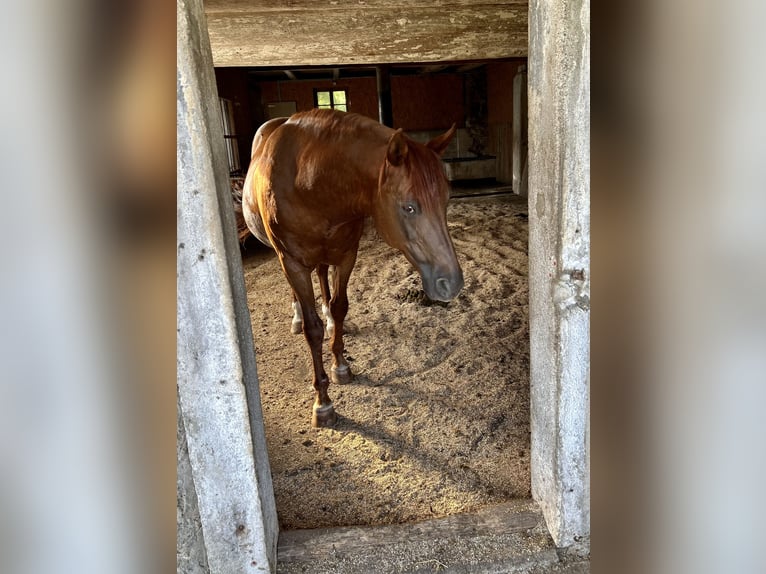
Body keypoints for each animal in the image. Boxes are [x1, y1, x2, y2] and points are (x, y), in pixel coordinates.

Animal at [243, 111, 464, 428]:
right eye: (409, 207)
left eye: (446, 200)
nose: (452, 283)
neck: (310, 182)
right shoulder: (293, 263)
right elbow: (312, 330)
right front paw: (323, 402)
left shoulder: (347, 255)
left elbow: (340, 307)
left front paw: (341, 365)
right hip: (283, 258)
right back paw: (297, 317)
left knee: (323, 276)